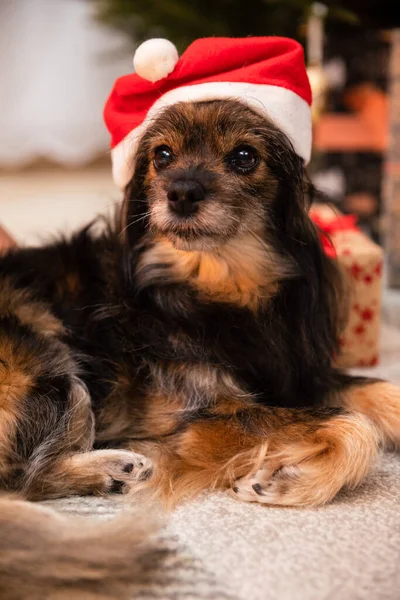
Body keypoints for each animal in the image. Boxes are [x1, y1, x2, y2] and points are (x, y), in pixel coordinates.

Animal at [0, 96, 400, 592]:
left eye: (245, 157)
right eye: (162, 156)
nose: (182, 192)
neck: (219, 289)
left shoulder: (292, 376)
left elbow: (379, 391)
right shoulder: (202, 418)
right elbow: (355, 425)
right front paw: (289, 479)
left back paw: (113, 471)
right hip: (51, 364)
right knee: (22, 479)